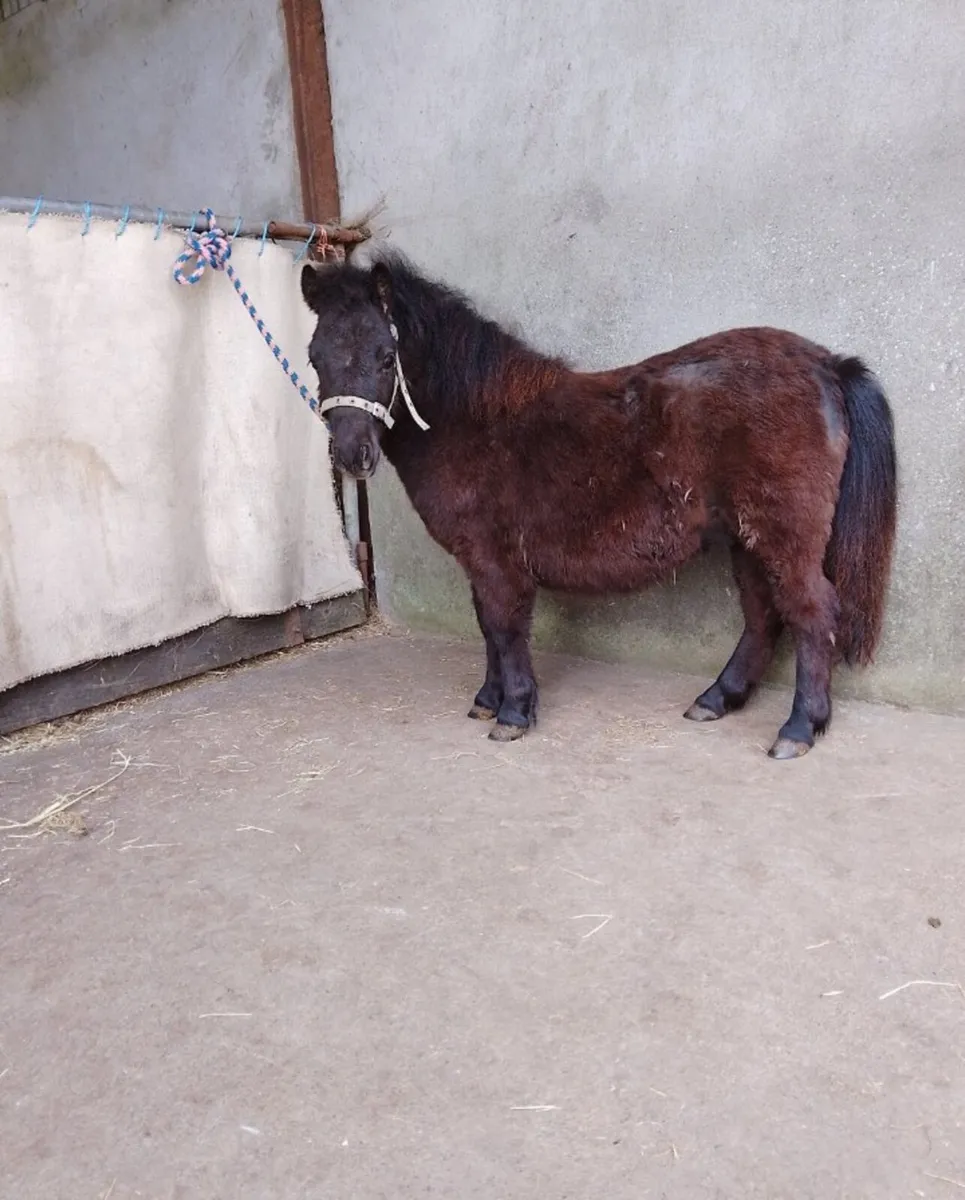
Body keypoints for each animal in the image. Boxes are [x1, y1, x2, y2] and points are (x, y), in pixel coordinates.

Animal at [300, 252, 897, 759]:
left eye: (386, 357)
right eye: (314, 357)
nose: (352, 454)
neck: (476, 420)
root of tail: (825, 364)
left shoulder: (495, 559)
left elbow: (505, 627)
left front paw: (513, 713)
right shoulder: (480, 559)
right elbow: (488, 627)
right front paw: (488, 700)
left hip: (783, 535)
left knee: (812, 613)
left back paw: (798, 729)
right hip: (748, 539)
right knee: (763, 616)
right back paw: (716, 700)